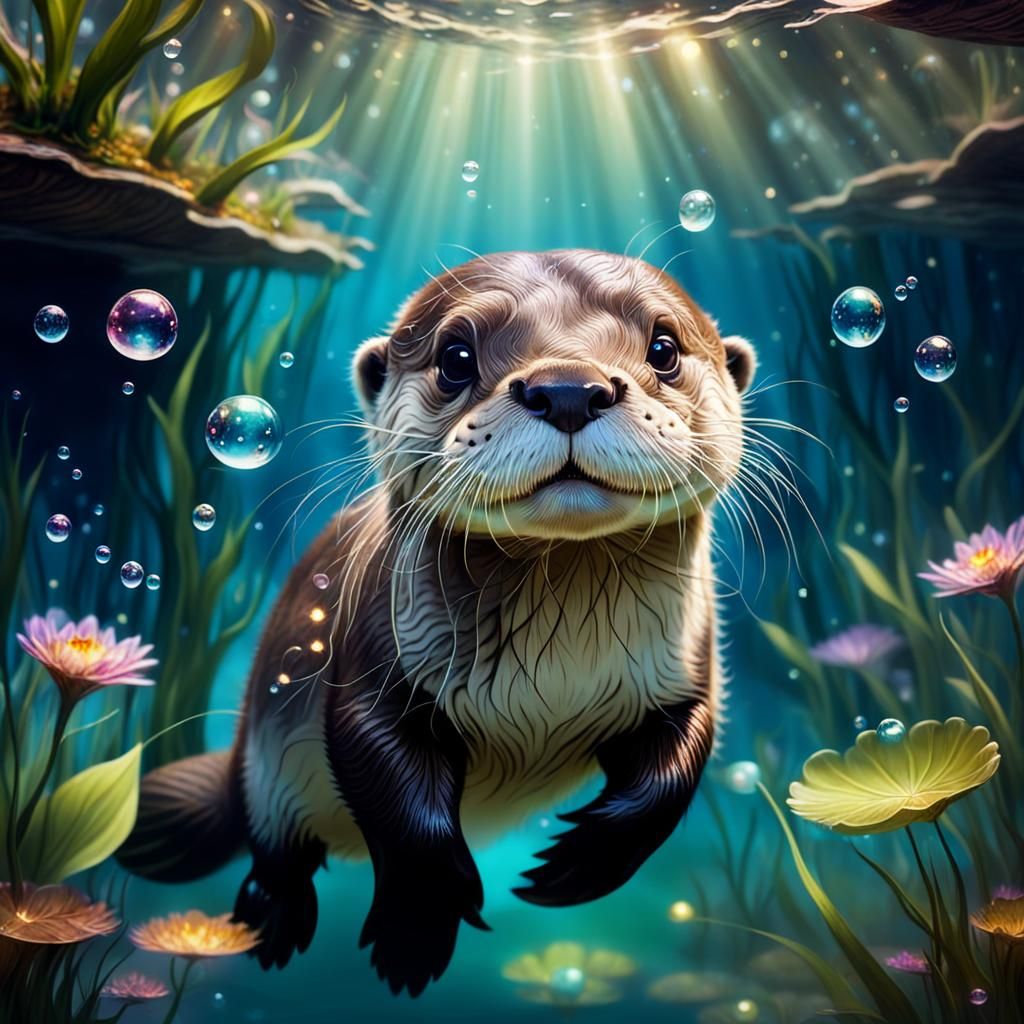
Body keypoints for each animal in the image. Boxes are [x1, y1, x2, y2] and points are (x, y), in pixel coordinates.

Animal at [119, 249, 756, 996]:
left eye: (664, 348)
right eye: (455, 356)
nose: (570, 388)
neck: (558, 667)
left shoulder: (687, 672)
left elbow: (674, 769)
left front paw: (573, 866)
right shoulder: (373, 668)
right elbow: (401, 804)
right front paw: (414, 933)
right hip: (267, 761)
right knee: (275, 849)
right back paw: (269, 923)